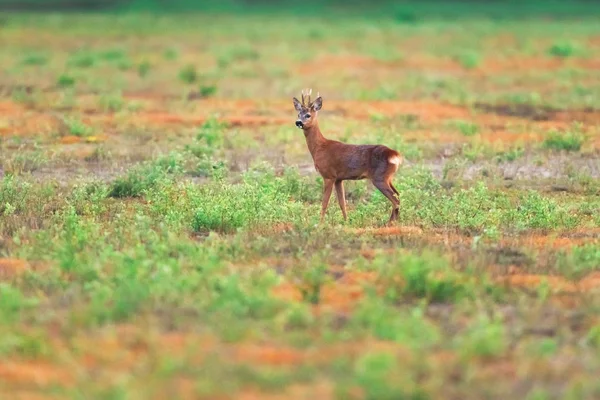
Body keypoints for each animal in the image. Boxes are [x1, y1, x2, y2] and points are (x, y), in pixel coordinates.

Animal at [292, 89, 404, 225]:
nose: (298, 122)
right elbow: (342, 203)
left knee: (395, 200)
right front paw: (346, 221)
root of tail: (395, 154)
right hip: (388, 177)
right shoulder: (339, 179)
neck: (320, 148)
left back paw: (390, 223)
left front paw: (320, 224)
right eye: (298, 114)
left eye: (308, 115)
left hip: (379, 177)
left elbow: (324, 203)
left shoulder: (328, 175)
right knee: (398, 195)